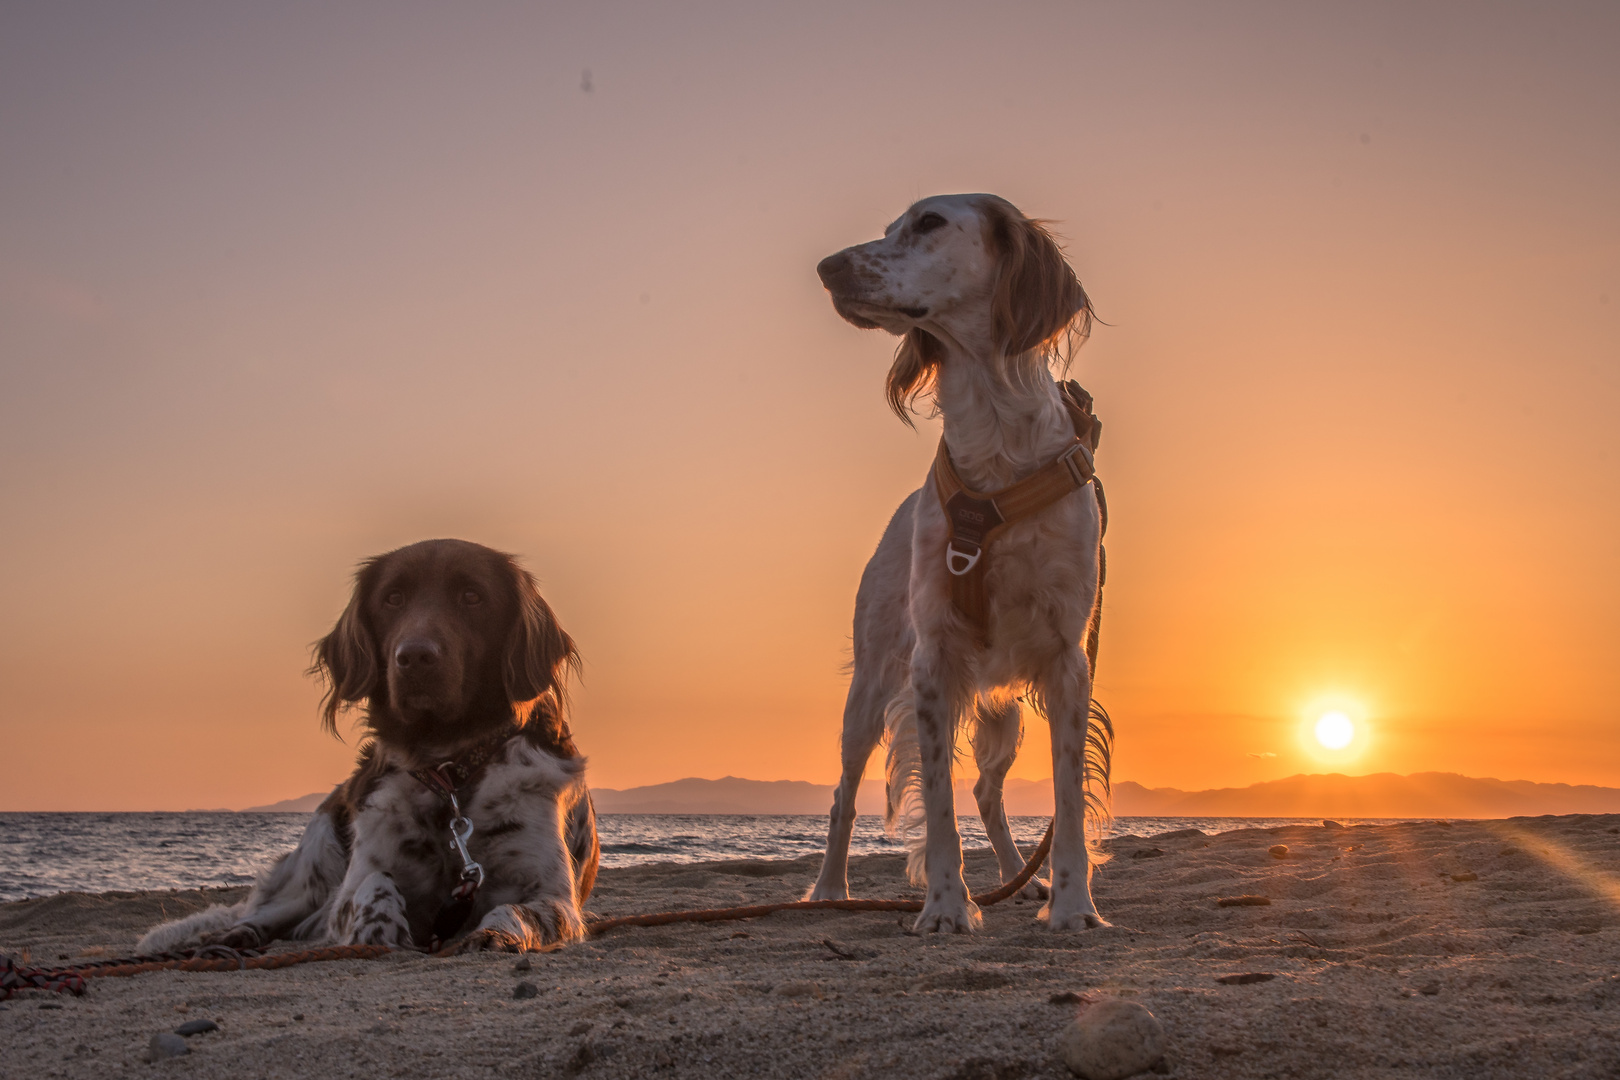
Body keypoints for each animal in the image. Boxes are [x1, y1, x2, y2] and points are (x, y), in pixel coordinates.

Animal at [140, 540, 602, 952]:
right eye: (392, 598)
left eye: (473, 596)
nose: (414, 656)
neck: (448, 770)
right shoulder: (356, 879)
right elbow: (371, 884)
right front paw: (377, 926)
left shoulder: (550, 893)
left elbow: (516, 911)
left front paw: (495, 933)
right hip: (314, 862)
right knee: (272, 912)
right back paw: (230, 936)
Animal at [810, 196, 1114, 939]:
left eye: (929, 223)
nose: (826, 267)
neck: (997, 436)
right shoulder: (934, 660)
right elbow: (938, 798)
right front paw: (947, 905)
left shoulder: (1068, 660)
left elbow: (1066, 799)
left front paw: (1073, 905)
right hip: (868, 691)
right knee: (844, 793)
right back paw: (830, 888)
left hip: (1005, 716)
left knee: (986, 789)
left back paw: (1017, 877)